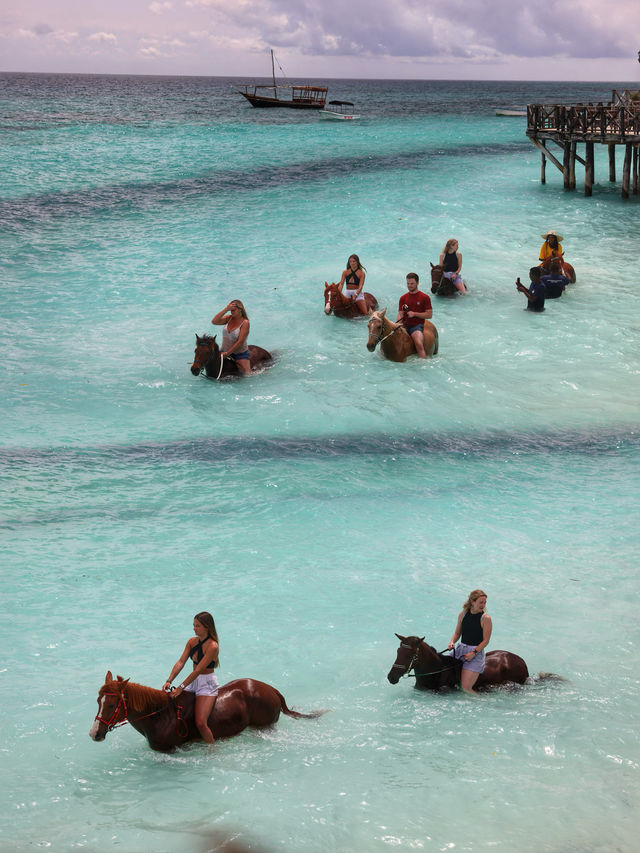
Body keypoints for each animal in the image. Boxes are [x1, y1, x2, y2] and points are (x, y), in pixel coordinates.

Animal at [89, 672, 324, 752]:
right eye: (98, 701)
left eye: (111, 705)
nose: (94, 733)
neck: (160, 716)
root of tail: (273, 690)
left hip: (265, 726)